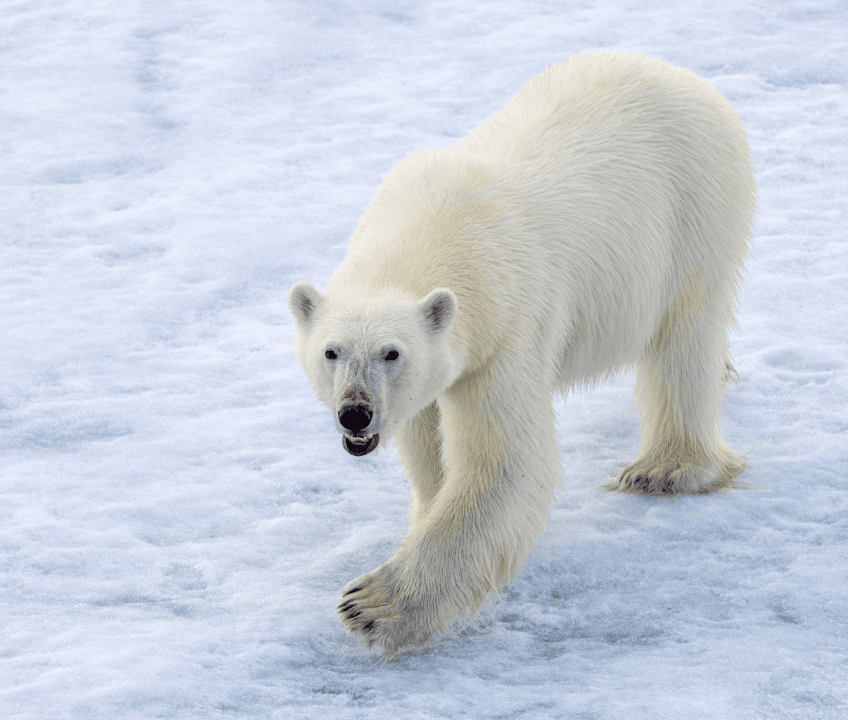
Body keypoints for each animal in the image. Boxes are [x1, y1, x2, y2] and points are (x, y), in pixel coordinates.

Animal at [288, 51, 755, 655]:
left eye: (392, 353)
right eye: (331, 352)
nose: (355, 413)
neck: (431, 233)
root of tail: (683, 76)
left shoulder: (505, 327)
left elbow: (502, 462)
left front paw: (371, 606)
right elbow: (429, 443)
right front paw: (422, 517)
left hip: (693, 212)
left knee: (684, 339)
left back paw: (664, 469)